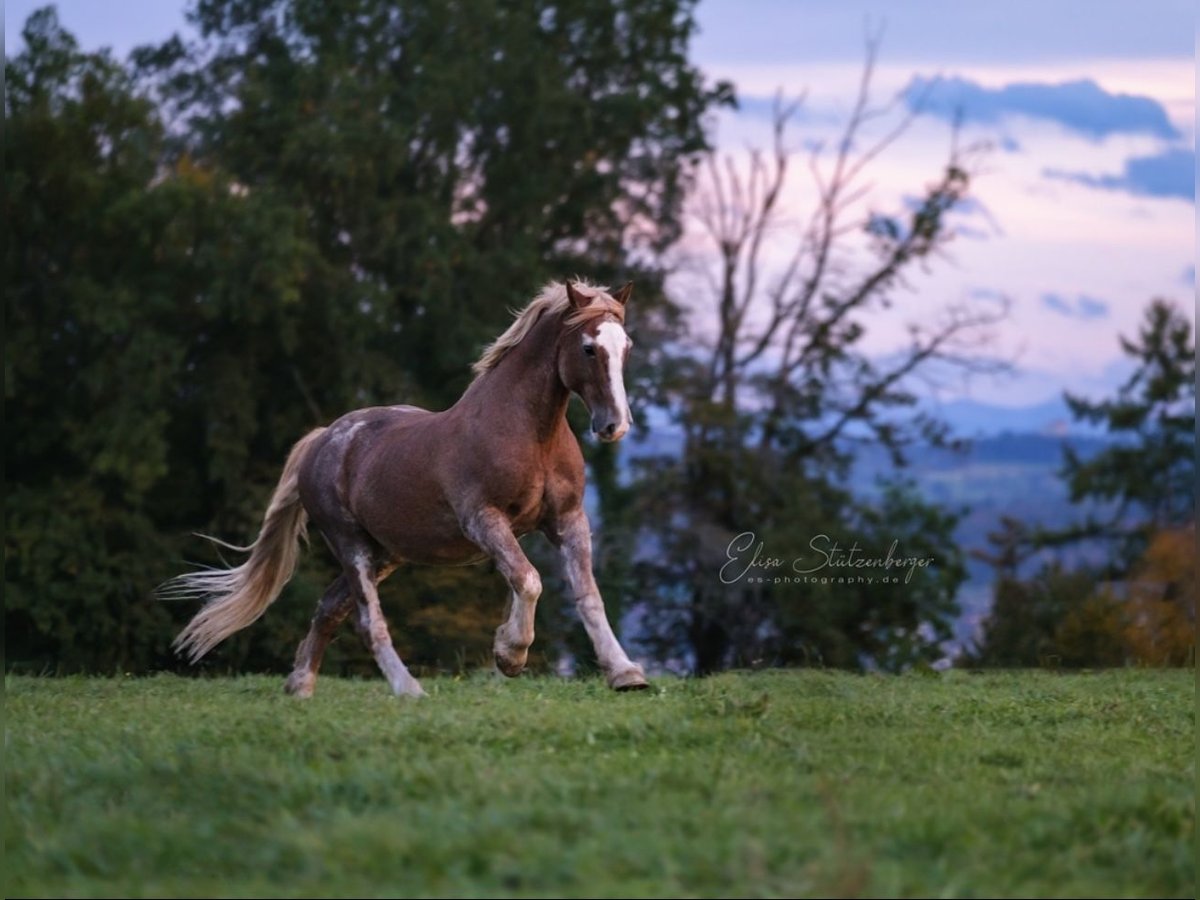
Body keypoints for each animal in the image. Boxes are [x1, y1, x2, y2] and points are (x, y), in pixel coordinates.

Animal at [162, 282, 648, 696]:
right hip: (351, 544)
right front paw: (509, 654)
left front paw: (626, 674)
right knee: (367, 620)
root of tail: (323, 438)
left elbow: (588, 597)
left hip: (384, 553)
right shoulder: (483, 520)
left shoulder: (568, 519)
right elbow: (528, 580)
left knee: (329, 608)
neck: (532, 435)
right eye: (588, 348)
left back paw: (300, 687)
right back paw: (408, 690)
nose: (614, 425)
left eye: (626, 347)